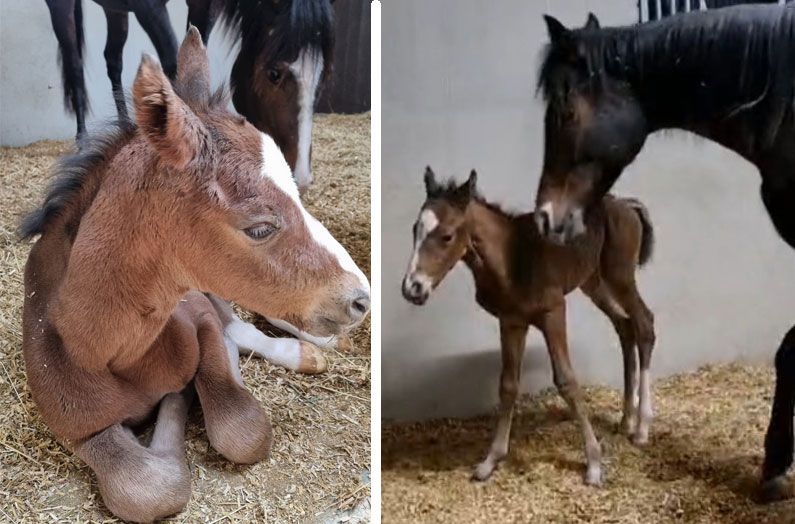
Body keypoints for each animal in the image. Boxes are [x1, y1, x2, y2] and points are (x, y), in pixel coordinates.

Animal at [17, 27, 374, 520]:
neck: (106, 351)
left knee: (248, 321)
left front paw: (183, 394)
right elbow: (147, 487)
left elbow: (242, 428)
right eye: (259, 228)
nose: (361, 298)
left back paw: (312, 348)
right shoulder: (73, 424)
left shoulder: (196, 315)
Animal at [45, 0, 332, 190]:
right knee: (74, 64)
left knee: (113, 59)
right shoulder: (149, 9)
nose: (301, 177)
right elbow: (172, 65)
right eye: (274, 74)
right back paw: (83, 140)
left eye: (324, 76)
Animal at [402, 167, 656, 484]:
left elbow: (567, 380)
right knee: (625, 326)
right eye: (415, 229)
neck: (512, 259)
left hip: (620, 276)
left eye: (447, 236)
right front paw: (490, 460)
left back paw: (642, 427)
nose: (412, 288)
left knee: (644, 324)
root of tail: (626, 203)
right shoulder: (512, 321)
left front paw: (594, 463)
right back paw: (626, 420)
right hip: (594, 282)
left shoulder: (553, 311)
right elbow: (508, 384)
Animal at [532, 6, 795, 502]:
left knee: (641, 323)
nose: (544, 216)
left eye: (565, 110)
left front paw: (774, 468)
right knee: (629, 325)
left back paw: (639, 423)